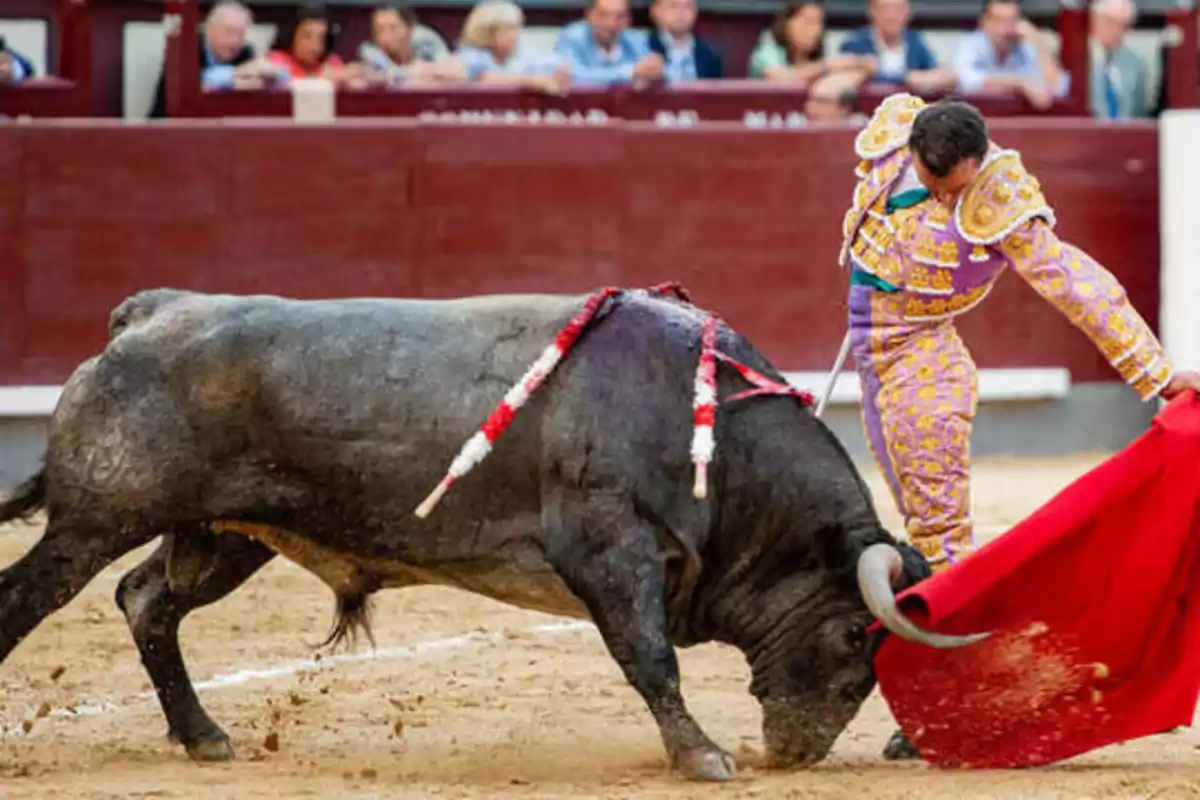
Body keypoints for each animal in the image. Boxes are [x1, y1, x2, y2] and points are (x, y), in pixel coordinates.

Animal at [0, 287, 984, 782]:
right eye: (855, 636)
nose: (796, 752)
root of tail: (151, 312)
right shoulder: (607, 550)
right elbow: (650, 659)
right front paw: (704, 756)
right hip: (96, 518)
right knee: (28, 598)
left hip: (230, 533)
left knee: (146, 600)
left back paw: (204, 735)